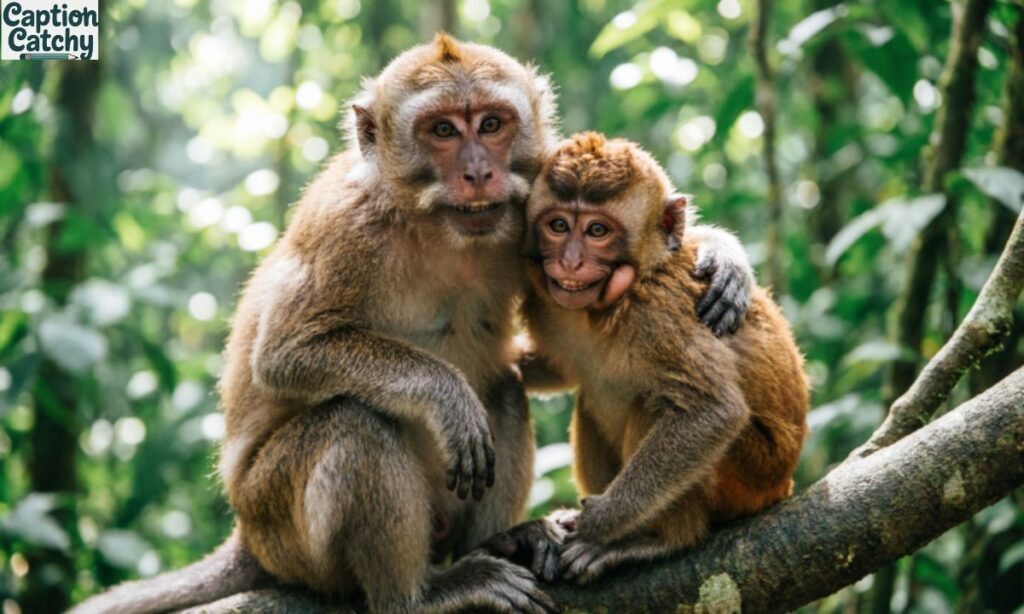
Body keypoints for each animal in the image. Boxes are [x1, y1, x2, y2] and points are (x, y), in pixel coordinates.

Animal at [71, 38, 759, 614]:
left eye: (491, 124)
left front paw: (721, 257)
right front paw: (443, 395)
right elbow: (285, 353)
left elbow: (531, 360)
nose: (478, 171)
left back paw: (500, 543)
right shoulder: (344, 227)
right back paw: (421, 594)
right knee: (356, 423)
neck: (431, 223)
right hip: (282, 528)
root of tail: (246, 536)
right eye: (443, 130)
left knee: (501, 388)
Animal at [511, 132, 809, 585]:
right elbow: (560, 369)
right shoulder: (547, 301)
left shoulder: (661, 315)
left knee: (657, 403)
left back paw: (656, 539)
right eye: (558, 225)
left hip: (750, 475)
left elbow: (711, 412)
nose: (569, 262)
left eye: (597, 230)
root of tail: (784, 485)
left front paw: (600, 523)